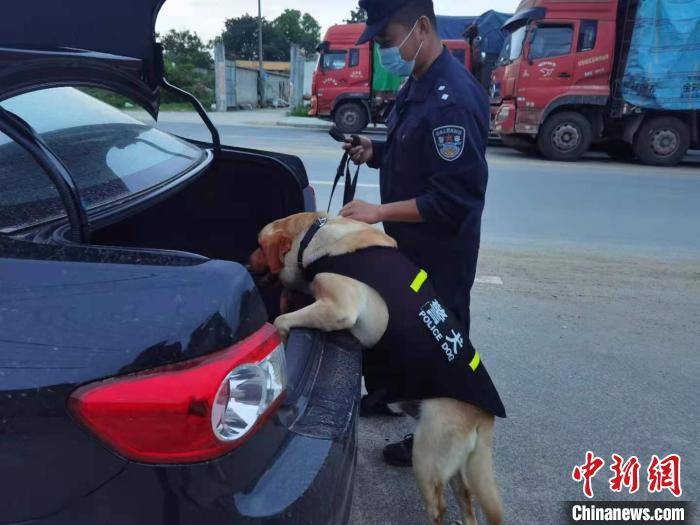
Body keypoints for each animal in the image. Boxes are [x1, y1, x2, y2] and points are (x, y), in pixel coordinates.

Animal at [252, 211, 504, 520]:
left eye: (259, 246)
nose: (247, 262)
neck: (312, 235)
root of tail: (484, 416)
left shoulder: (340, 309)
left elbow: (282, 320)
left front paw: (284, 334)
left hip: (426, 456)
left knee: (439, 507)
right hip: (455, 465)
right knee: (467, 502)